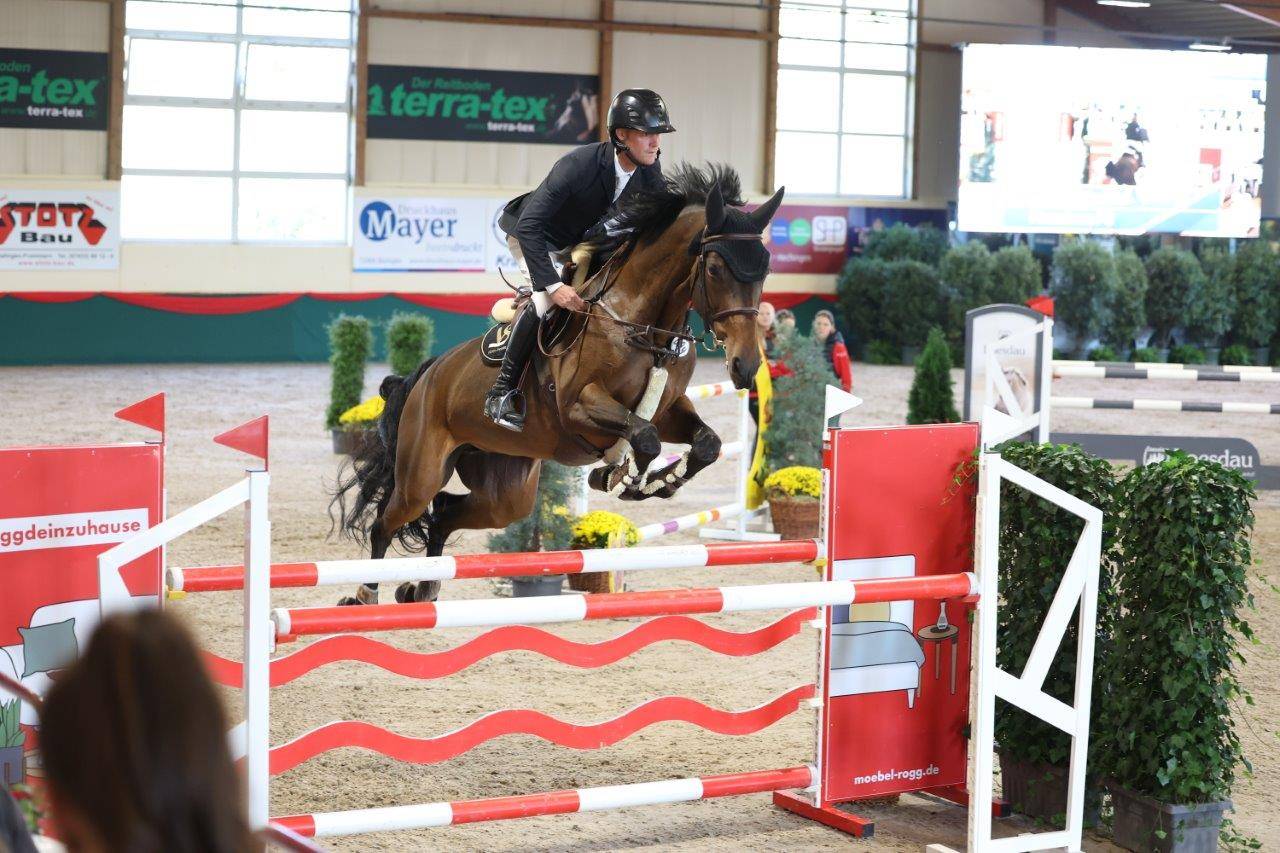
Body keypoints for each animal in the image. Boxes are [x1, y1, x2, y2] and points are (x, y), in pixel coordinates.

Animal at [331, 163, 785, 606]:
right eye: (715, 269)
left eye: (765, 269)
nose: (745, 366)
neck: (639, 322)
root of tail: (428, 374)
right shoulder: (579, 409)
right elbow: (645, 437)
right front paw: (622, 478)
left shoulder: (669, 408)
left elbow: (704, 442)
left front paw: (659, 482)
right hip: (421, 472)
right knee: (387, 522)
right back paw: (365, 594)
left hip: (505, 489)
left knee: (445, 511)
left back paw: (421, 588)